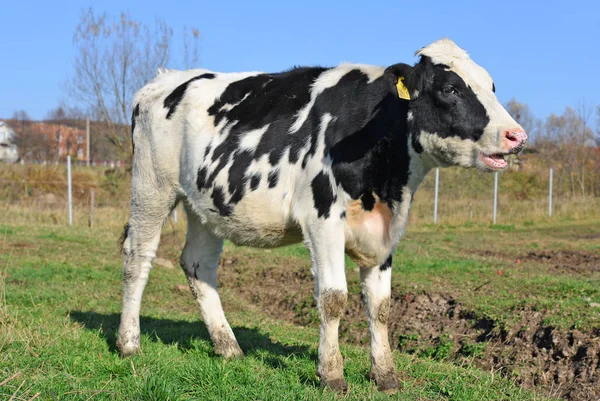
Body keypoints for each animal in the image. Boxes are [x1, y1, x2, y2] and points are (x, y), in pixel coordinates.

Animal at [116, 39, 524, 392]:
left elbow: (381, 306)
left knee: (198, 265)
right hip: (151, 187)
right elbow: (333, 298)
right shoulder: (323, 218)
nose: (516, 136)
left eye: (491, 85)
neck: (387, 180)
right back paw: (128, 344)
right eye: (450, 88)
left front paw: (385, 375)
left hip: (208, 204)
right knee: (138, 259)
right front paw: (331, 374)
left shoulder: (386, 228)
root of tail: (163, 80)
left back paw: (228, 347)